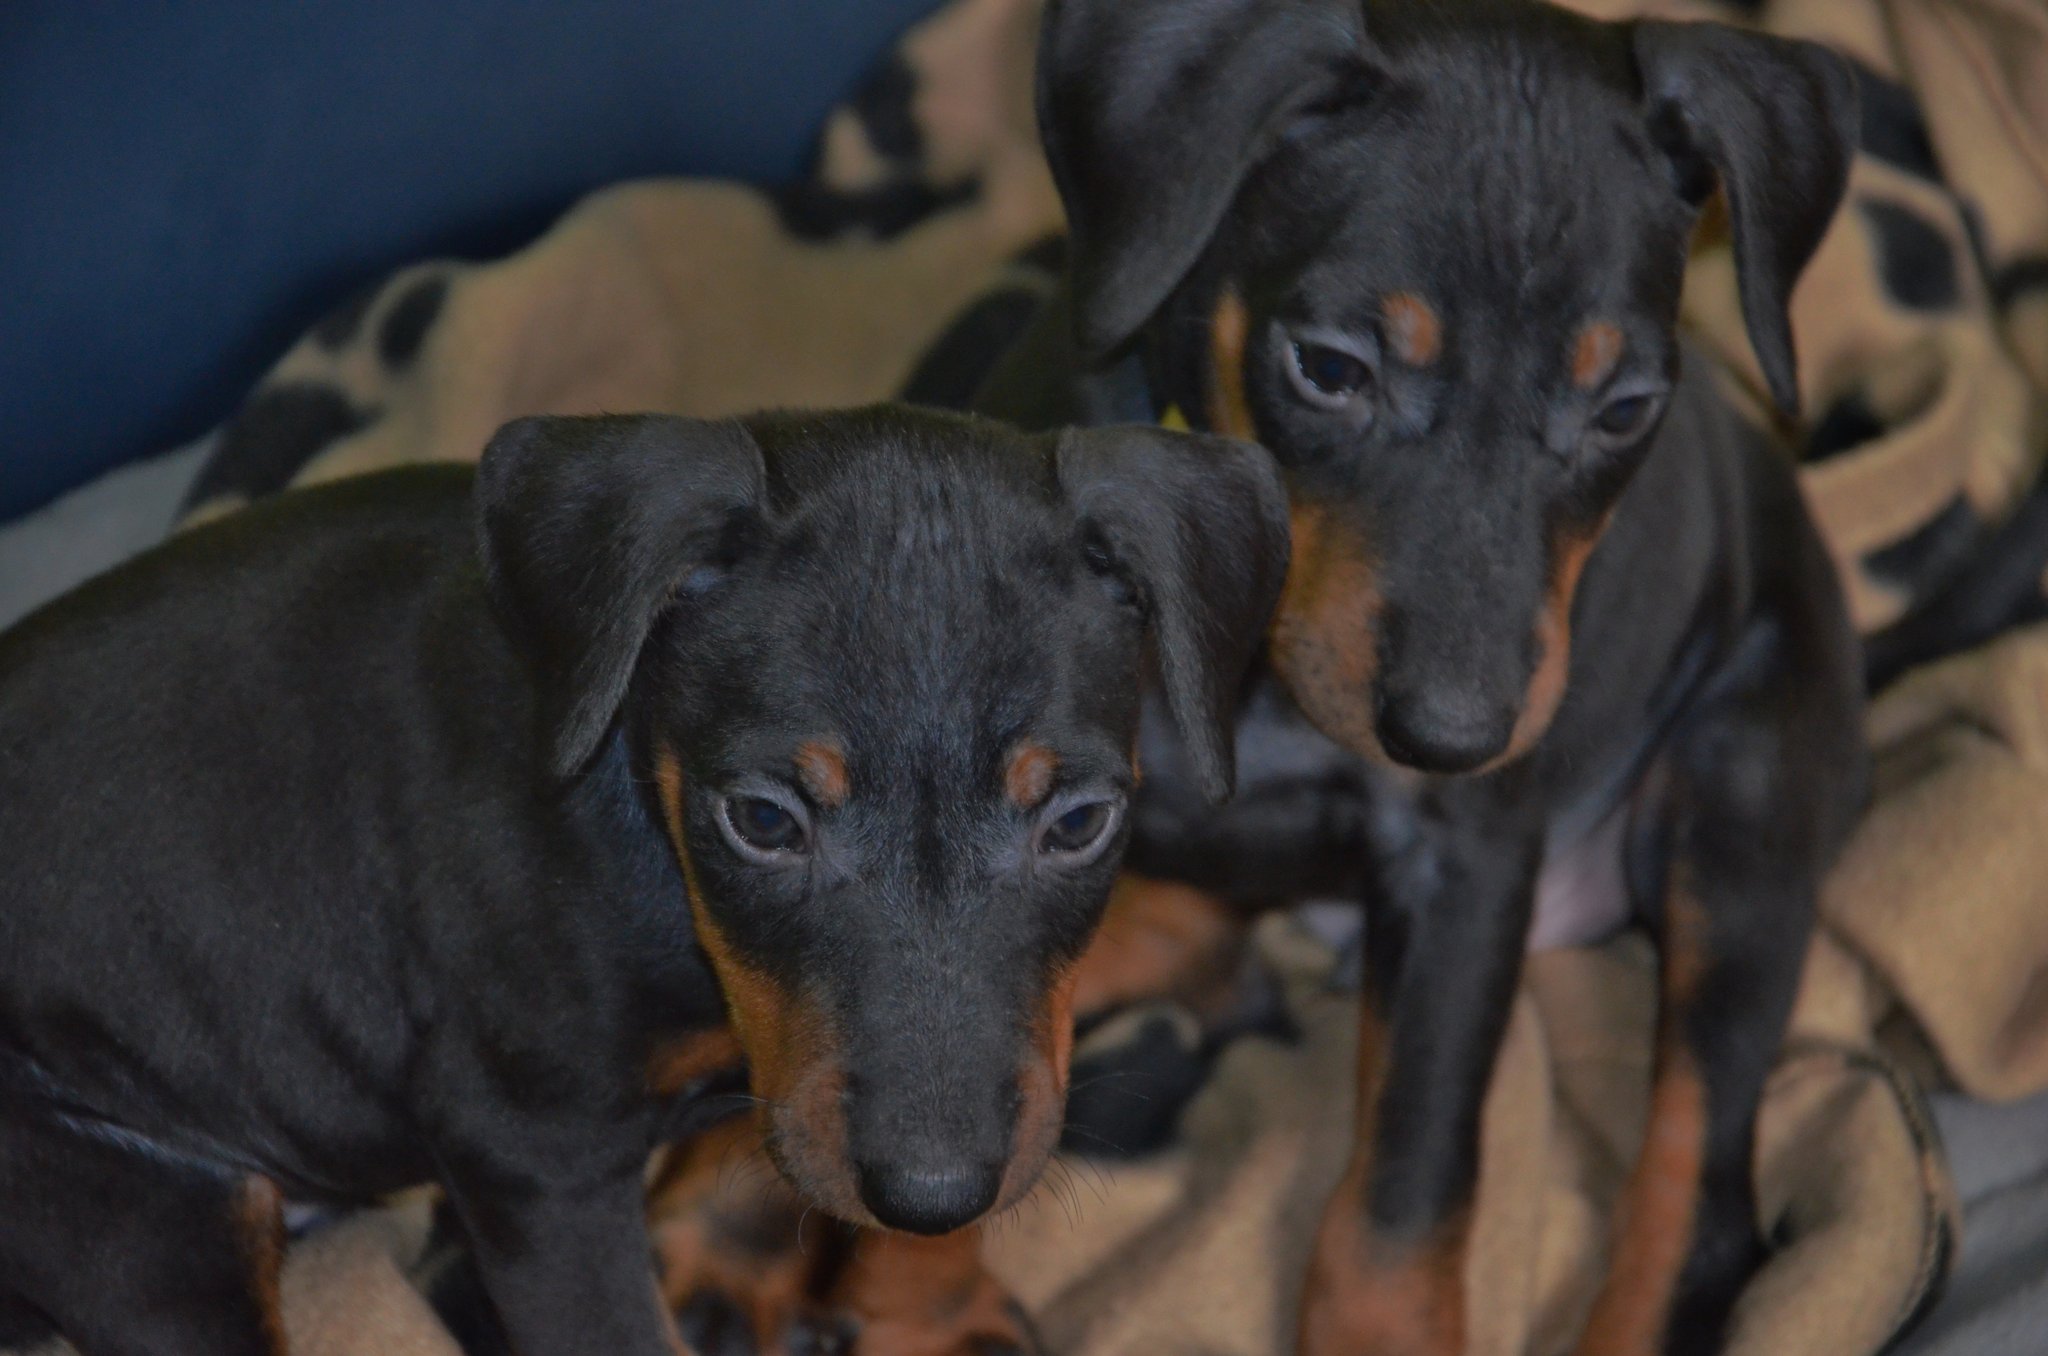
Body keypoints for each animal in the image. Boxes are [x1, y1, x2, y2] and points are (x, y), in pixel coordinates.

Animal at [0, 405, 1288, 1356]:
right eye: (762, 820)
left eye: (1077, 822)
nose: (931, 1193)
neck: (640, 806)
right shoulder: (535, 1158)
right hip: (148, 1223)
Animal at [976, 2, 1868, 1353]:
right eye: (1330, 367)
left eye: (1623, 409)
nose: (1453, 735)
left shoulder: (1462, 864)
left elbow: (1404, 1175)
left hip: (1741, 799)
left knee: (1700, 1188)